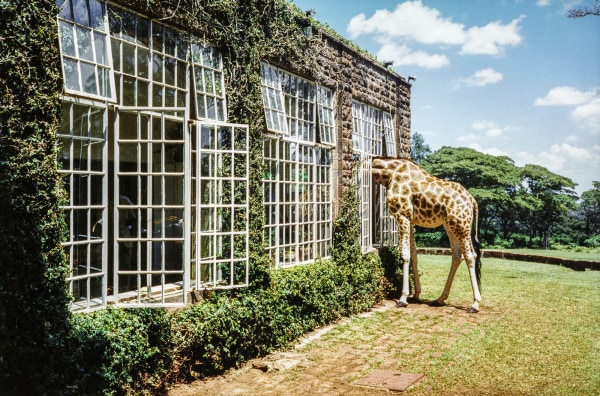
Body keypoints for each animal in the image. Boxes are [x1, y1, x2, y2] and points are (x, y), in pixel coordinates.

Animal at [370, 156, 482, 314]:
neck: (390, 174)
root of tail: (472, 200)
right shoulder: (410, 219)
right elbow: (413, 255)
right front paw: (416, 294)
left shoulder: (402, 215)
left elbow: (405, 255)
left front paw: (403, 298)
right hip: (451, 225)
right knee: (457, 255)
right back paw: (440, 299)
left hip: (461, 225)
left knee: (470, 256)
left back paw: (475, 304)